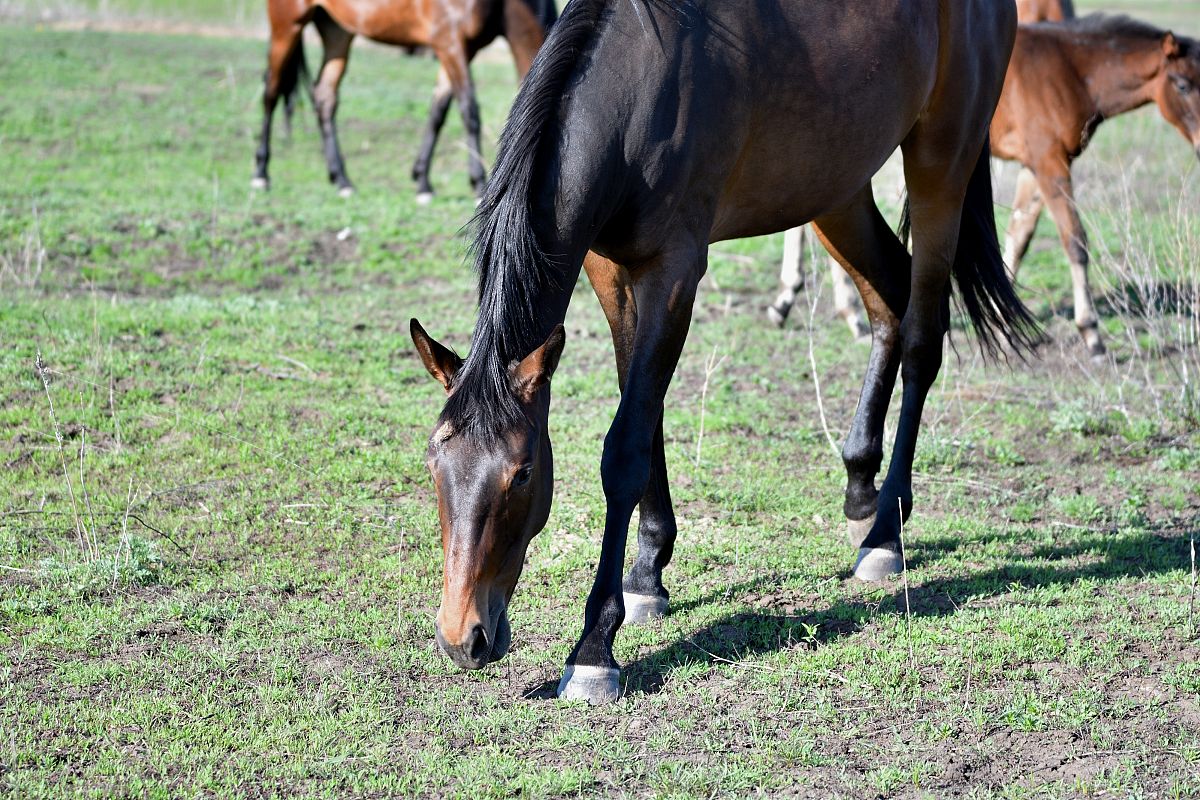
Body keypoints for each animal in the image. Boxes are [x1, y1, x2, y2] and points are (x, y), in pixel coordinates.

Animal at [252, 0, 557, 202]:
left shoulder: (457, 50)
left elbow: (438, 112)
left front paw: (422, 181)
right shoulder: (450, 44)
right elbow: (469, 111)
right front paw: (479, 185)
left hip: (337, 30)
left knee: (325, 98)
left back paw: (342, 180)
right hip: (287, 26)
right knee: (270, 92)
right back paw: (261, 174)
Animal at [410, 0, 1033, 704]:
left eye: (520, 473)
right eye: (434, 466)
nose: (462, 637)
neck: (637, 84)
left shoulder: (675, 269)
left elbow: (625, 447)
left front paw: (596, 646)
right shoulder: (609, 269)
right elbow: (643, 416)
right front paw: (648, 574)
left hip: (941, 162)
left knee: (924, 333)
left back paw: (884, 534)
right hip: (836, 187)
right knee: (888, 303)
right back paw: (860, 486)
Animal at [992, 15, 1200, 357]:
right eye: (1182, 85)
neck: (1071, 72)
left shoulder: (1033, 166)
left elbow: (1019, 236)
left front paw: (1002, 328)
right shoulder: (1050, 163)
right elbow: (1075, 241)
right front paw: (1091, 333)